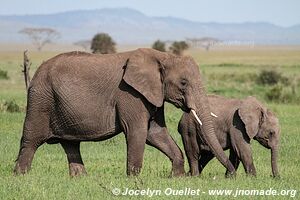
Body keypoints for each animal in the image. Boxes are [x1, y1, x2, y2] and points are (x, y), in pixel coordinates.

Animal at [14, 48, 236, 177]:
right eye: (183, 83)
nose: (231, 174)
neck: (162, 57)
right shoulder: (130, 93)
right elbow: (138, 132)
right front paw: (134, 180)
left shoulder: (152, 94)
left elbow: (156, 133)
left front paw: (176, 177)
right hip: (40, 99)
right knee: (31, 140)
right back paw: (20, 176)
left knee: (71, 144)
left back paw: (80, 178)